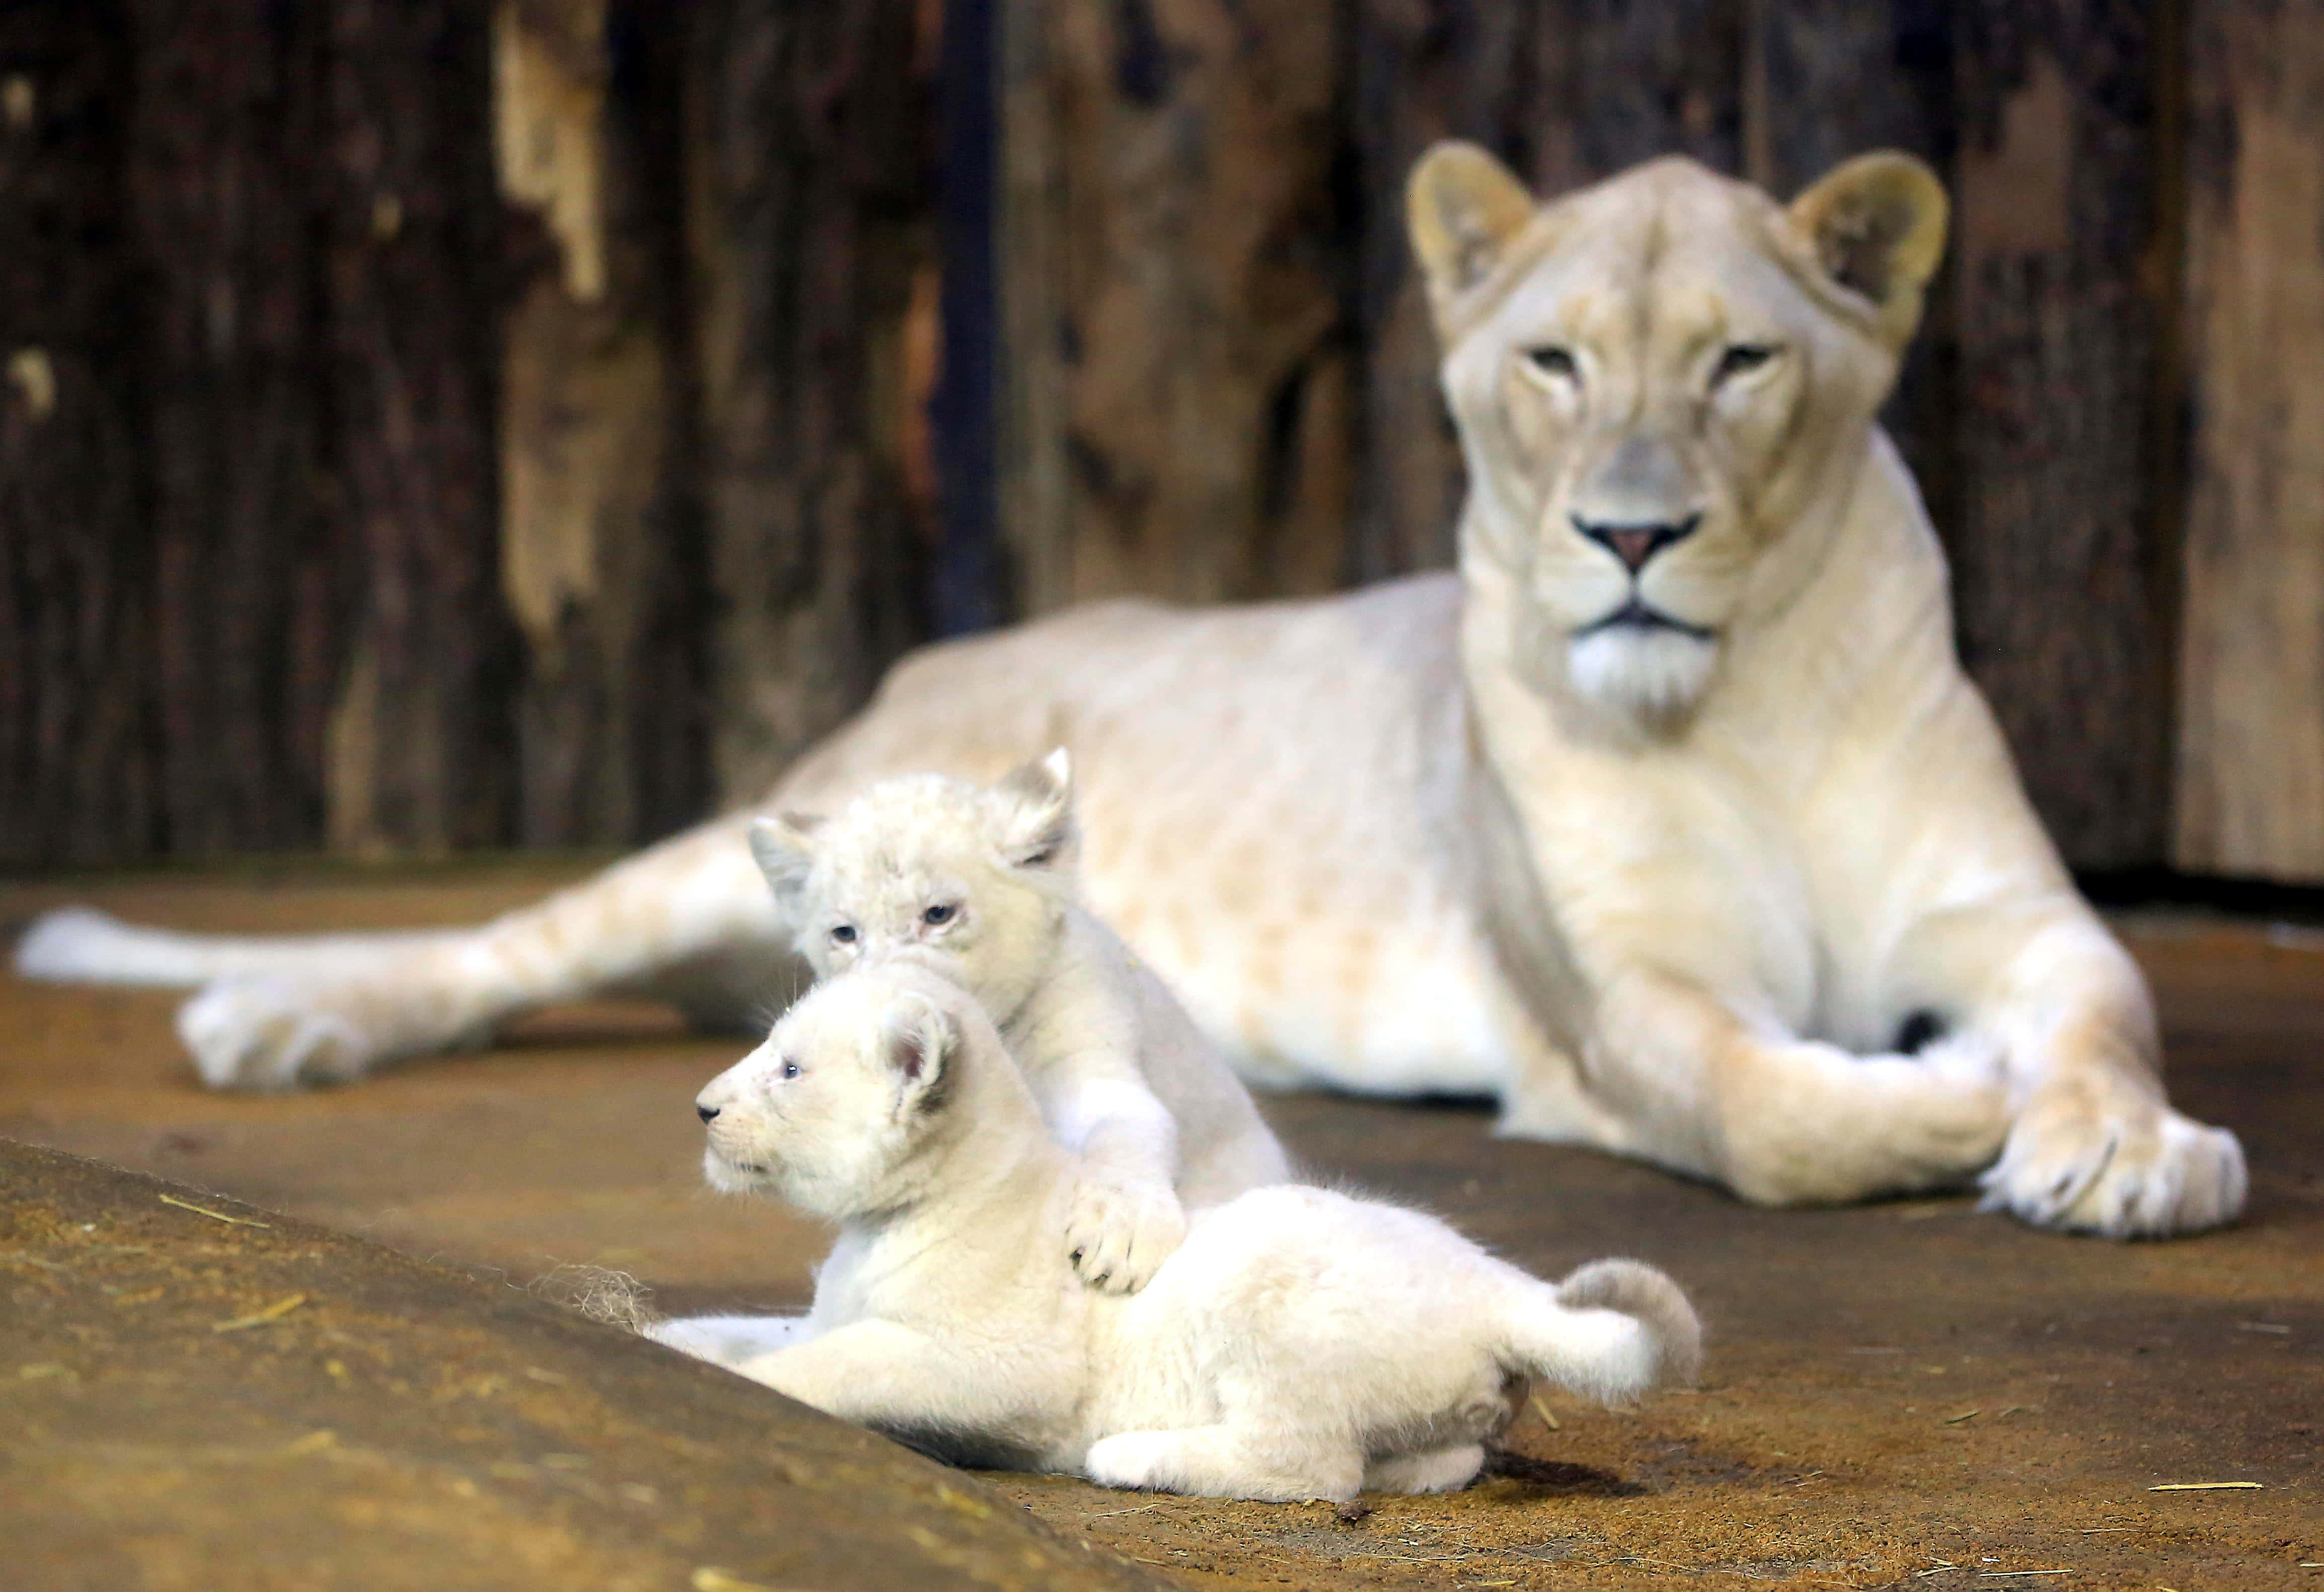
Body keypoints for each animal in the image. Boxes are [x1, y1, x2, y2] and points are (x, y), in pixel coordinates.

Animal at [16, 145, 2245, 1238]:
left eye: (1738, 363)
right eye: (1549, 366)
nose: (1628, 534)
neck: (1750, 696)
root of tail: (941, 655)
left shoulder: (2017, 913)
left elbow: (2112, 1001)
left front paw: (2127, 1148)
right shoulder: (1613, 1007)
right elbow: (1769, 1107)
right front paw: (1951, 1102)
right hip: (715, 852)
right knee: (488, 945)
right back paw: (280, 1017)